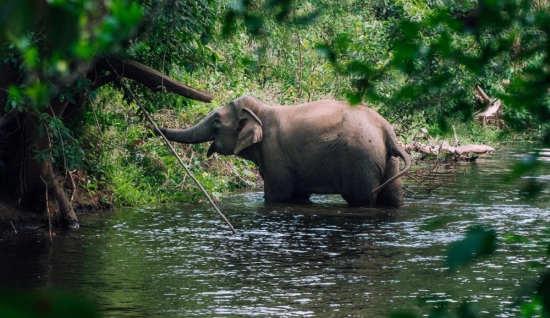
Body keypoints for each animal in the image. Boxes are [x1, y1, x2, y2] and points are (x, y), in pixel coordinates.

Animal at [154, 96, 410, 206]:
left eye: (216, 121)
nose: (155, 127)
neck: (261, 110)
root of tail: (387, 131)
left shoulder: (274, 153)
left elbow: (278, 196)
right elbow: (298, 195)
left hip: (361, 161)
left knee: (362, 200)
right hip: (386, 160)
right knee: (392, 198)